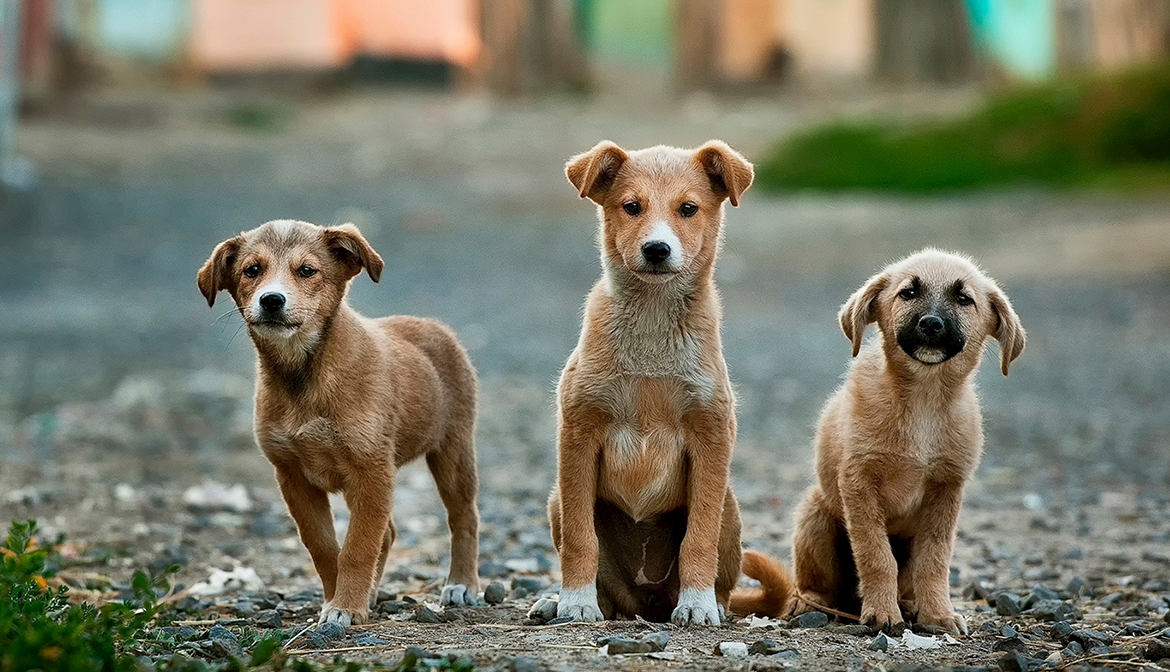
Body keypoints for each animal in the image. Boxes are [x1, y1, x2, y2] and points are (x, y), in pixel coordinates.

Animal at [196, 220, 479, 627]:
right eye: (252, 270)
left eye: (307, 270)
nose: (271, 300)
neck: (303, 375)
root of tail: (432, 325)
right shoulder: (293, 476)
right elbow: (325, 547)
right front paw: (338, 600)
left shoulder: (371, 470)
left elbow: (358, 546)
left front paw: (346, 606)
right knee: (388, 533)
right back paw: (372, 593)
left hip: (453, 451)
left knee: (463, 517)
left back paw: (461, 584)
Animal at [535, 139, 753, 627]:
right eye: (631, 207)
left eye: (688, 209)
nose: (656, 249)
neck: (652, 326)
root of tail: (647, 602)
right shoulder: (578, 433)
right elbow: (580, 537)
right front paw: (575, 601)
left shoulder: (712, 435)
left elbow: (699, 538)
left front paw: (697, 604)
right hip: (557, 499)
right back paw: (557, 601)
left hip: (730, 506)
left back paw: (711, 603)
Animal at [730, 251, 1024, 636]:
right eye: (908, 292)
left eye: (964, 299)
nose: (931, 324)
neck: (923, 399)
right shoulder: (859, 483)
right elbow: (876, 555)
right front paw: (882, 613)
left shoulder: (946, 490)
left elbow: (934, 560)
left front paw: (937, 614)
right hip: (815, 514)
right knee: (816, 585)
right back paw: (811, 603)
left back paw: (910, 604)